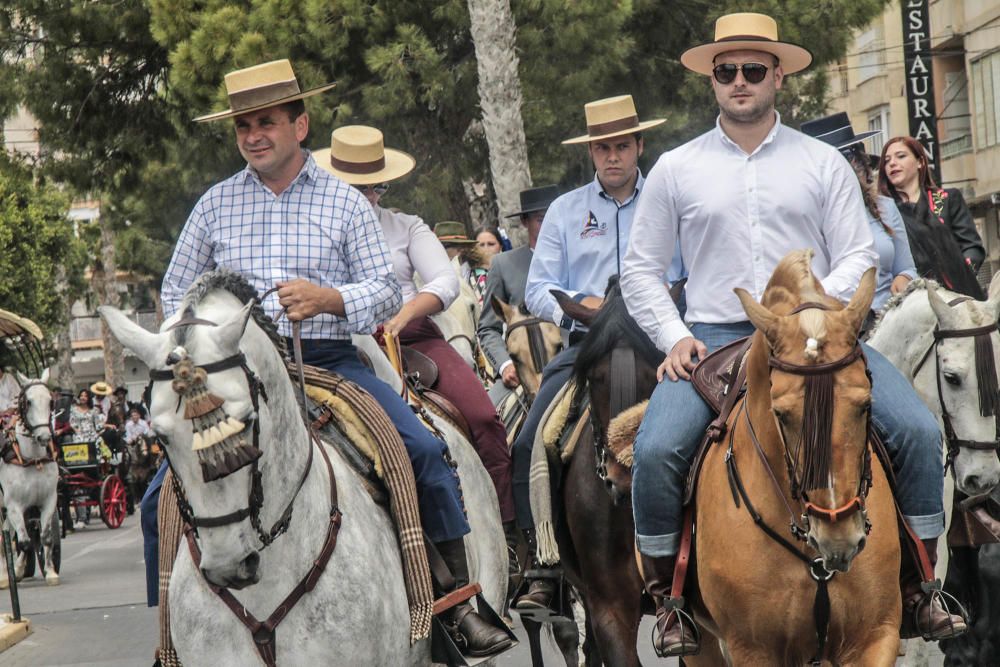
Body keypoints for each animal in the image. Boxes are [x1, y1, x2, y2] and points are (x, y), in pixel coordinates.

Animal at [0, 370, 60, 588]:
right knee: (3, 537)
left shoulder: (49, 500)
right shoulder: (14, 505)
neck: (32, 459)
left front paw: (51, 572)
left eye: (50, 401)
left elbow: (46, 537)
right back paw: (4, 575)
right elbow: (25, 543)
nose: (44, 437)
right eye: (28, 402)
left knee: (7, 532)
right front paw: (17, 570)